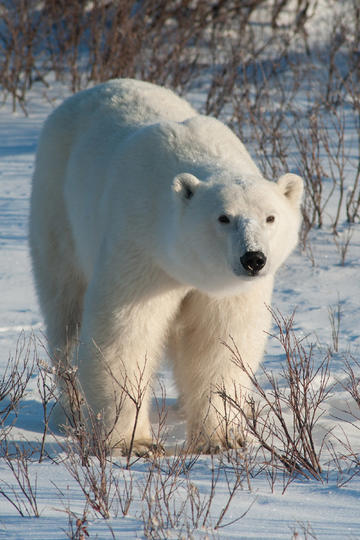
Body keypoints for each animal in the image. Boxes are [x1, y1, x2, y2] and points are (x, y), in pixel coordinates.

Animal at [29, 78, 302, 454]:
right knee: (65, 311)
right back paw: (73, 412)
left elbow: (221, 343)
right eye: (224, 217)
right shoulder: (141, 249)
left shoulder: (225, 289)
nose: (253, 259)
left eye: (270, 217)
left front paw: (221, 439)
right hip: (57, 206)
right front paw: (133, 443)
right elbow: (124, 334)